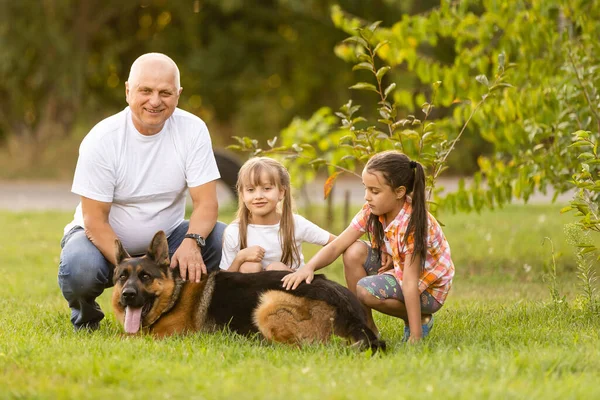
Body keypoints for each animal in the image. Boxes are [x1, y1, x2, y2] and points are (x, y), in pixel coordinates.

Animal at [111, 230, 384, 352]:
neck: (173, 296)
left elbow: (125, 337)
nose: (128, 295)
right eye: (122, 277)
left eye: (145, 276)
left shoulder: (165, 336)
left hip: (267, 303)